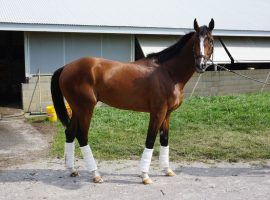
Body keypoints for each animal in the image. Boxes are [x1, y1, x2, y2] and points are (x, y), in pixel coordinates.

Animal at [50, 19, 215, 184]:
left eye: (211, 40)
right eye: (195, 41)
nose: (201, 65)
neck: (167, 72)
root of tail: (66, 67)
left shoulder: (167, 113)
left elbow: (164, 139)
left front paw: (167, 170)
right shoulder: (157, 112)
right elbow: (150, 140)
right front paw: (144, 175)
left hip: (77, 109)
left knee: (70, 133)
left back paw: (72, 170)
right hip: (86, 109)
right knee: (82, 136)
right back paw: (95, 174)